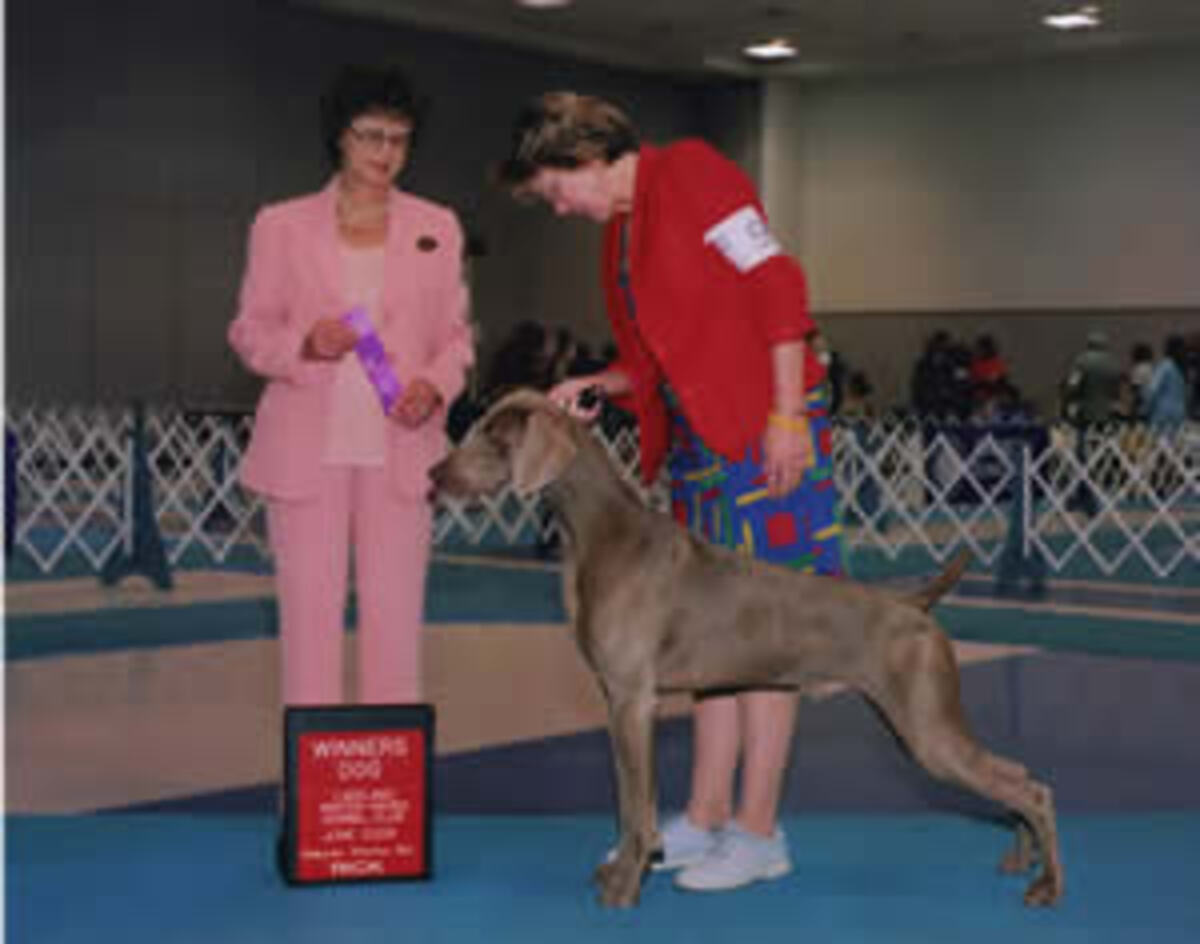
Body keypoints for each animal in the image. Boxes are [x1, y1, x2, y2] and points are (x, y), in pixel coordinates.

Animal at [429, 388, 1060, 906]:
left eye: (493, 434)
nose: (434, 473)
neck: (600, 534)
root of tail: (913, 603)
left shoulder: (634, 700)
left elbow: (636, 806)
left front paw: (627, 884)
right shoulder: (615, 700)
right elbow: (631, 801)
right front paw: (629, 869)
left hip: (925, 727)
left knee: (1032, 787)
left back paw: (1048, 886)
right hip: (922, 722)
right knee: (1017, 772)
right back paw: (1020, 859)